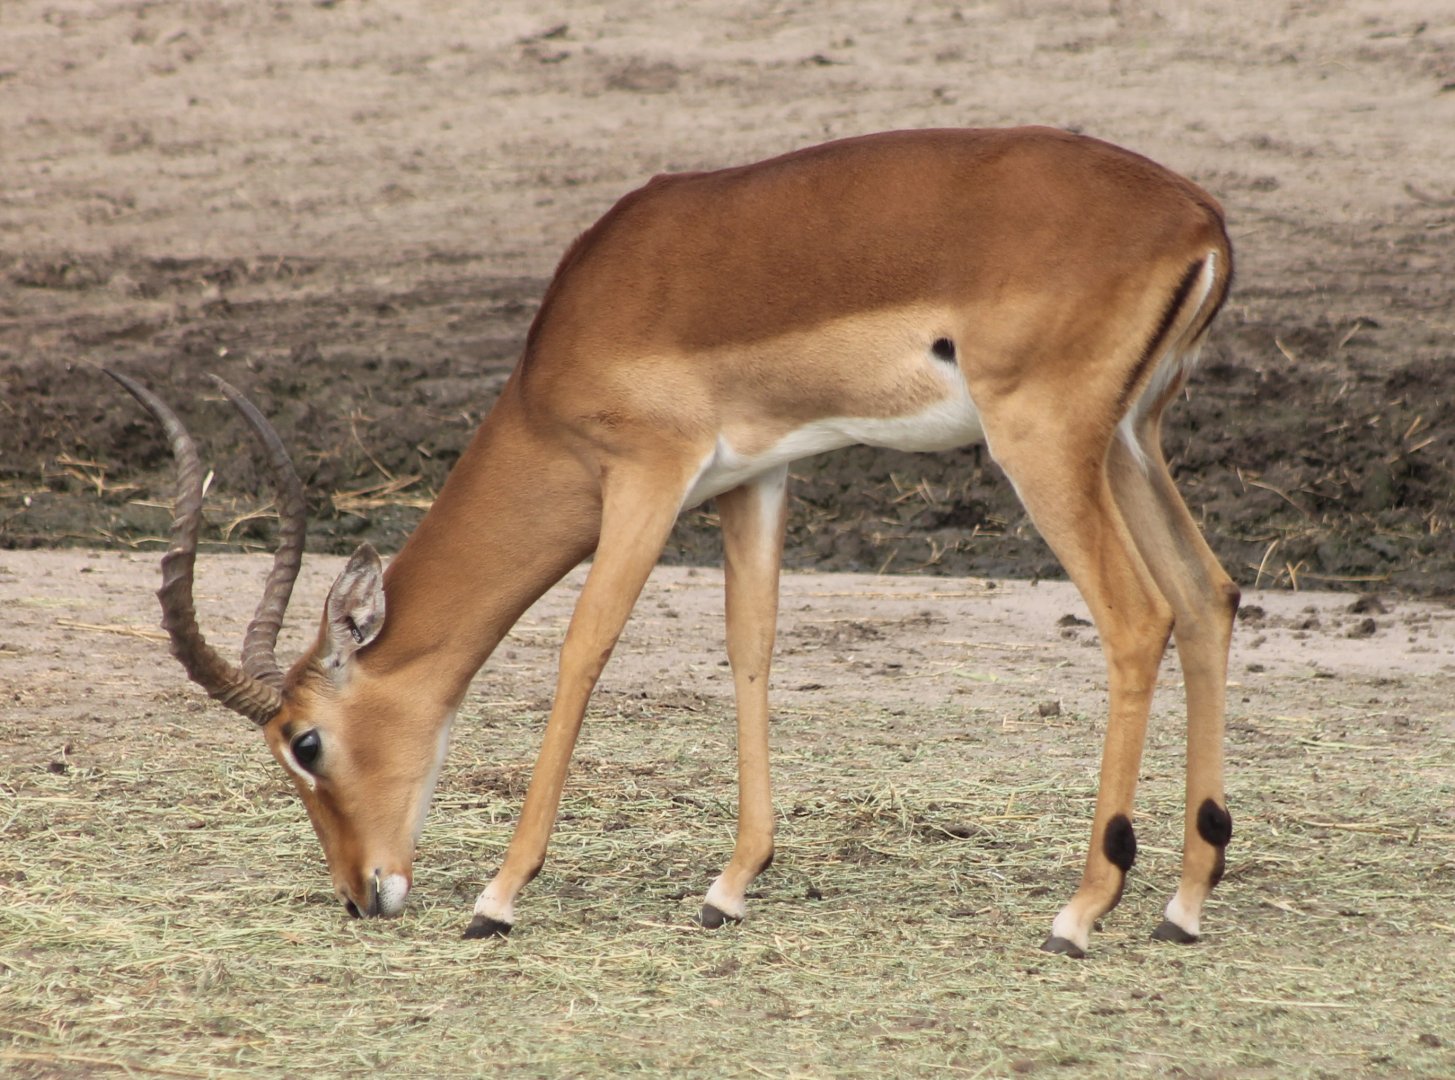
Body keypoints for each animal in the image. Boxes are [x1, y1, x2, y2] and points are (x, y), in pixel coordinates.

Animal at [110, 126, 1238, 957]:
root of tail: (1201, 217)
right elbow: (751, 646)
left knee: (1137, 617)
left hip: (1045, 442)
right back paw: (1183, 904)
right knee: (1207, 596)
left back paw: (1081, 912)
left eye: (304, 742)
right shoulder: (753, 479)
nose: (362, 893)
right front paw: (730, 885)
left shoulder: (648, 476)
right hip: (1131, 440)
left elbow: (584, 649)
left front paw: (497, 897)